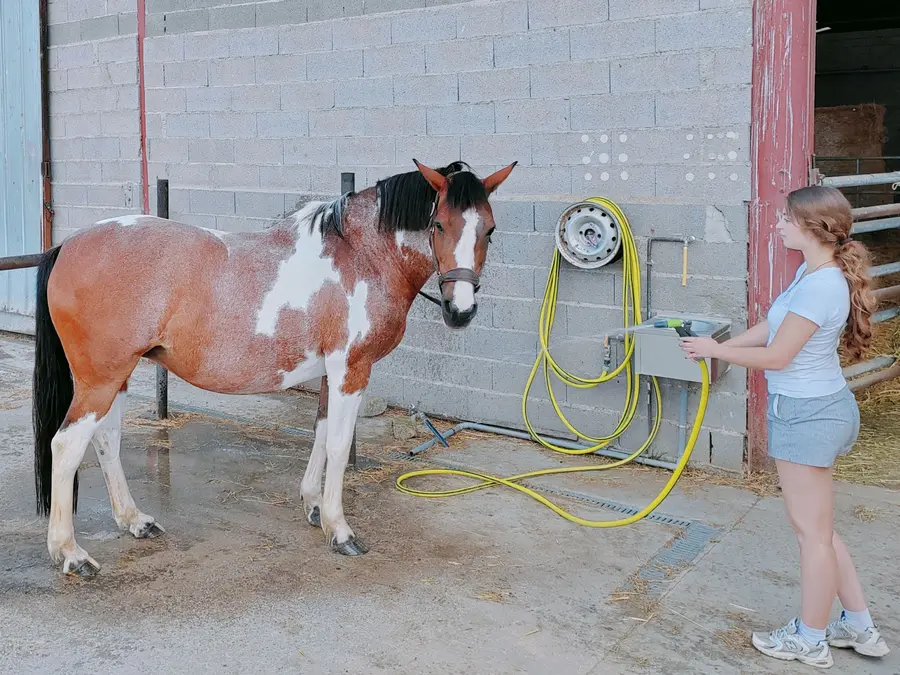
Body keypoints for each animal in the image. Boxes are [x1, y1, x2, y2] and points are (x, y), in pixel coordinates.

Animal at [31, 159, 517, 577]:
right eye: (438, 225)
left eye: (490, 229)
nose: (460, 311)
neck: (360, 255)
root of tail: (67, 246)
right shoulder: (351, 368)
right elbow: (339, 443)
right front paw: (340, 531)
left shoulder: (330, 372)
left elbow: (321, 432)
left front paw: (314, 506)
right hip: (100, 380)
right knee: (67, 445)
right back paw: (70, 553)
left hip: (115, 377)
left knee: (105, 440)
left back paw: (134, 520)